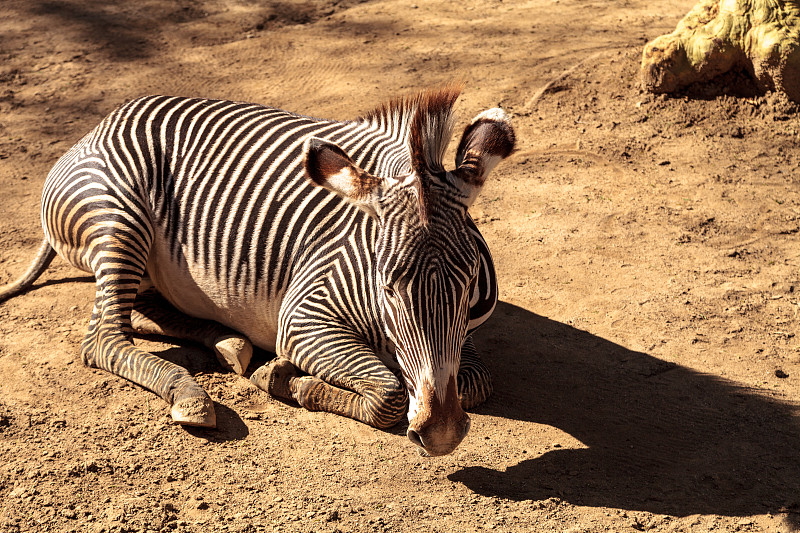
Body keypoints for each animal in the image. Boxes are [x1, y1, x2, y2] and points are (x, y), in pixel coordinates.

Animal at [0, 85, 516, 456]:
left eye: (470, 281)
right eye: (388, 287)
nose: (442, 435)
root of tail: (103, 122)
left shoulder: (463, 329)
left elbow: (473, 382)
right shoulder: (303, 316)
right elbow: (390, 392)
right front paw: (286, 379)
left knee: (141, 310)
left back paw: (229, 343)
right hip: (119, 215)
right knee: (104, 337)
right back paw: (191, 394)